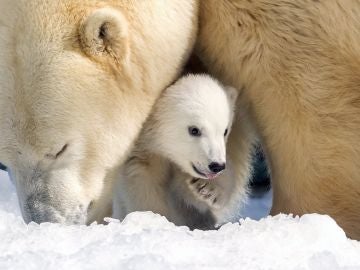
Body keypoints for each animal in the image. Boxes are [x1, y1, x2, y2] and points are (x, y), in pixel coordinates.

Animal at [113, 75, 248, 229]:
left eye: (225, 131)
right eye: (194, 130)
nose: (216, 166)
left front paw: (207, 189)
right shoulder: (144, 157)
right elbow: (144, 190)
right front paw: (154, 218)